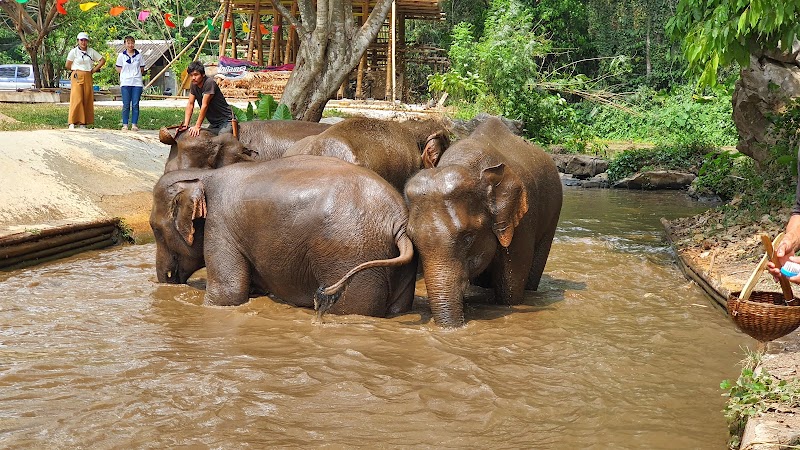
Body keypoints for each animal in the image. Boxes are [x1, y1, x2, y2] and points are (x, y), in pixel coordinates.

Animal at [149, 155, 416, 317]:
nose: (168, 278)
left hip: (350, 254)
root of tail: (397, 222)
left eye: (156, 229)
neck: (204, 175)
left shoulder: (220, 224)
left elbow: (228, 293)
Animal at [404, 117, 563, 328]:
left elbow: (510, 286)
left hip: (553, 212)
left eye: (468, 237)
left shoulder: (522, 222)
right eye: (413, 240)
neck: (466, 165)